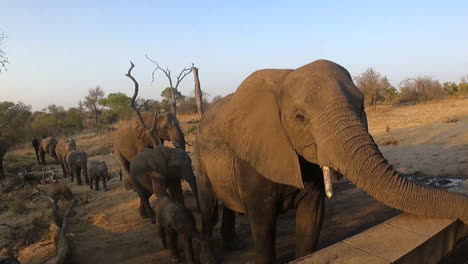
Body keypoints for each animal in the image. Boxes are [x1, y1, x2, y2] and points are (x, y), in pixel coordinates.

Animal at [195, 59, 468, 264]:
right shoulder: (254, 156)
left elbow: (311, 219)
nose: (464, 218)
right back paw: (211, 258)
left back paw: (233, 245)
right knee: (207, 208)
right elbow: (263, 227)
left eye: (361, 104)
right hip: (198, 158)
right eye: (300, 117)